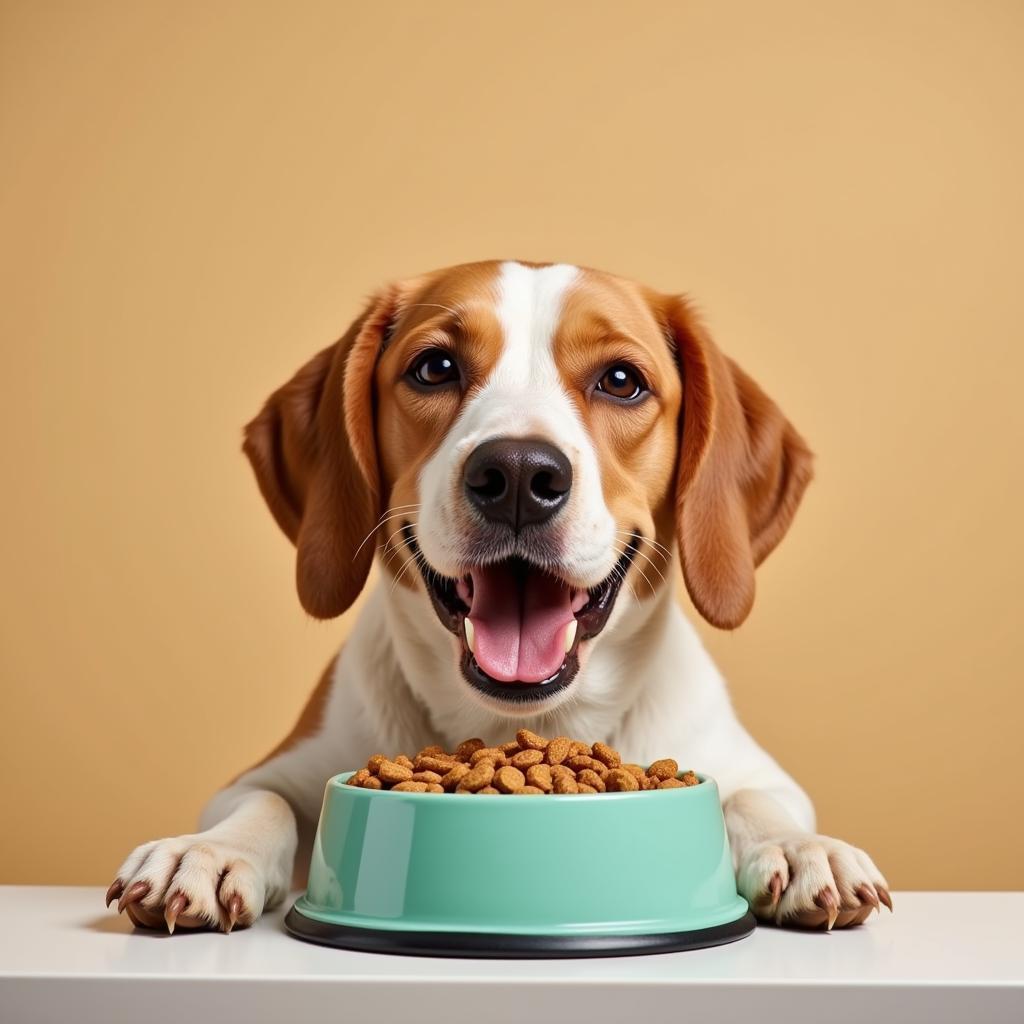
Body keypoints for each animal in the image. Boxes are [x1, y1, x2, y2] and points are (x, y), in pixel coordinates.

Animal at [103, 262, 888, 937]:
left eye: (622, 381)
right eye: (435, 367)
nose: (517, 473)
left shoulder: (751, 768)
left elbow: (752, 796)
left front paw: (803, 847)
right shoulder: (274, 770)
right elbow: (264, 802)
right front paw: (206, 851)